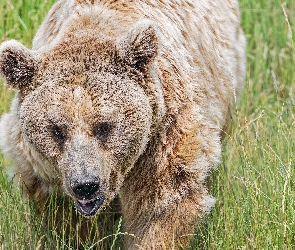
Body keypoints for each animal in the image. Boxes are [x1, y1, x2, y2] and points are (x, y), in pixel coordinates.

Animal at [0, 0, 245, 249]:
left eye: (104, 126)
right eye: (57, 130)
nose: (86, 184)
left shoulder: (162, 135)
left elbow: (159, 207)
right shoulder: (39, 165)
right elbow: (65, 215)